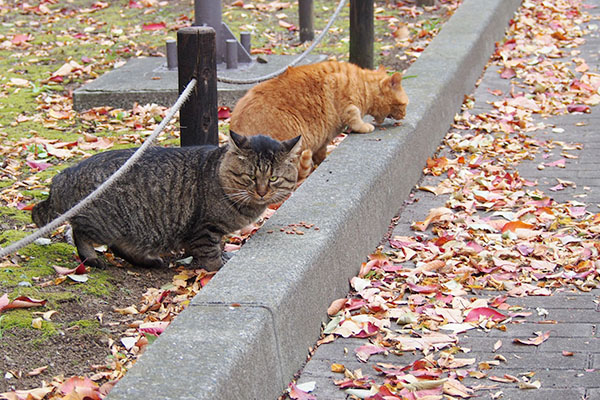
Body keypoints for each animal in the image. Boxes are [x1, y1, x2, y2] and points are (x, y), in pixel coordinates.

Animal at [31, 133, 302, 270]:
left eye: (273, 178)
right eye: (251, 177)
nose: (262, 192)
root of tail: (61, 177)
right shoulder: (205, 228)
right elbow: (210, 252)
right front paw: (218, 264)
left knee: (120, 247)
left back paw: (150, 260)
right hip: (105, 224)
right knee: (80, 233)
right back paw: (93, 258)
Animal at [230, 59, 408, 178]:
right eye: (404, 105)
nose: (404, 115)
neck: (363, 85)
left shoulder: (323, 140)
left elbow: (321, 153)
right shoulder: (345, 99)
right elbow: (355, 115)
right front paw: (365, 126)